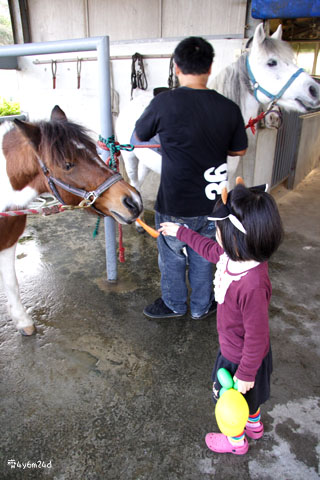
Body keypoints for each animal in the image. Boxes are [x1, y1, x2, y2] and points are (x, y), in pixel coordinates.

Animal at [0, 107, 142, 336]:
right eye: (67, 164)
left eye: (95, 150)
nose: (133, 202)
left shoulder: (8, 241)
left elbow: (12, 282)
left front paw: (22, 321)